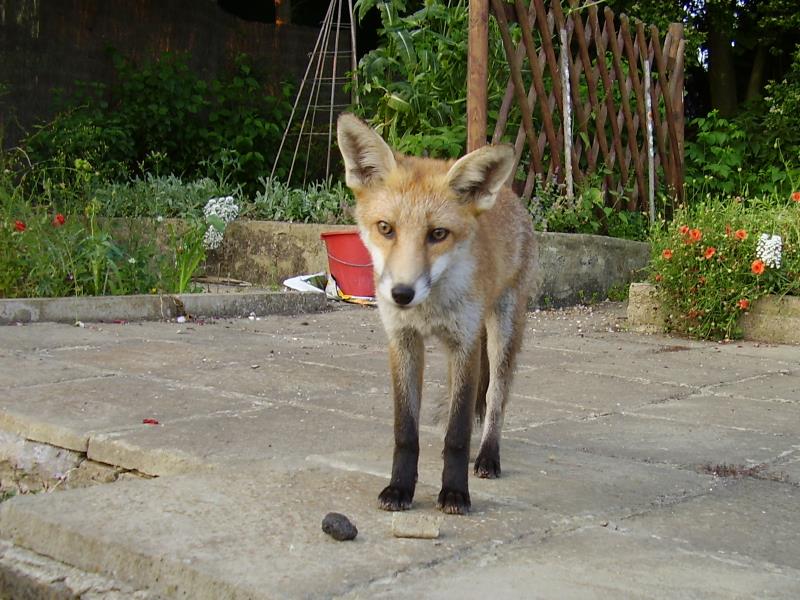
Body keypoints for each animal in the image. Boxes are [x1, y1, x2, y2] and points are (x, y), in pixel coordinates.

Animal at [337, 114, 536, 515]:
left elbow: (458, 434)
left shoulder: (465, 344)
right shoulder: (403, 341)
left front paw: (455, 492)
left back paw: (488, 456)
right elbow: (405, 432)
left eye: (438, 234)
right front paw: (400, 488)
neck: (428, 309)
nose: (401, 293)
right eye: (385, 228)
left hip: (502, 332)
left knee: (495, 399)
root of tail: (508, 195)